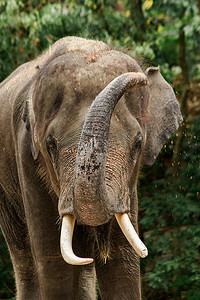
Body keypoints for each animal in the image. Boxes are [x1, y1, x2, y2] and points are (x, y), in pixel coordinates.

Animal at [0, 36, 183, 298]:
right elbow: (54, 261)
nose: (142, 78)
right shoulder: (26, 153)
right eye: (51, 145)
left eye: (138, 144)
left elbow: (122, 262)